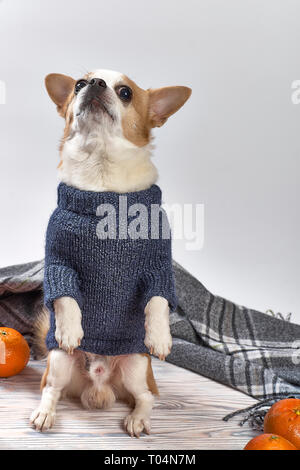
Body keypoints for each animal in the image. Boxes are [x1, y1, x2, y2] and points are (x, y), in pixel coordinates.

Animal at [29, 70, 190, 436]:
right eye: (77, 84)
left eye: (126, 92)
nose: (93, 84)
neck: (102, 179)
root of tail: (98, 386)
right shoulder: (59, 262)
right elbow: (66, 297)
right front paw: (70, 328)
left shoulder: (157, 269)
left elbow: (158, 301)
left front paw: (160, 336)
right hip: (59, 361)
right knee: (51, 389)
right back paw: (45, 413)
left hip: (136, 366)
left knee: (147, 397)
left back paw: (138, 419)